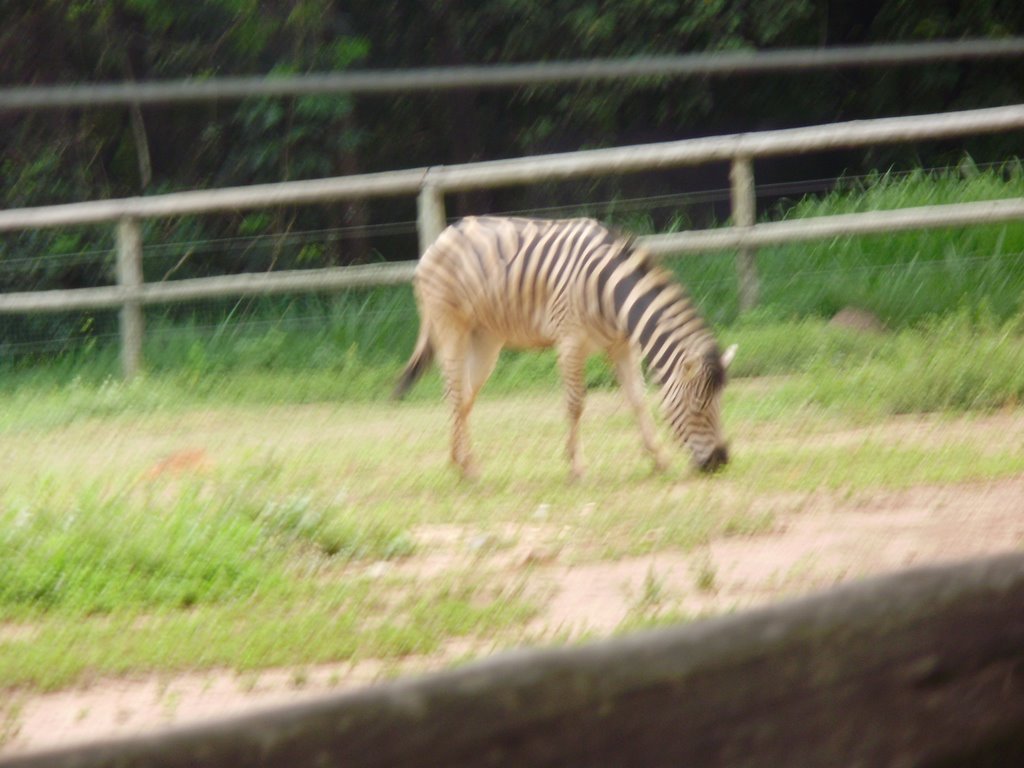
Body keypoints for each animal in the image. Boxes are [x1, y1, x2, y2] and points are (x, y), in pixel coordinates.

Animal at [391, 217, 737, 479]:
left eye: (721, 403)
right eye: (698, 408)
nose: (720, 461)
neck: (612, 295)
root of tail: (443, 236)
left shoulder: (622, 346)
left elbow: (638, 400)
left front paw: (659, 458)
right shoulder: (571, 341)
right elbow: (576, 404)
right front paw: (577, 467)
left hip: (485, 339)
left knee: (464, 397)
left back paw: (462, 464)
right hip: (450, 328)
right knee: (453, 393)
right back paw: (468, 467)